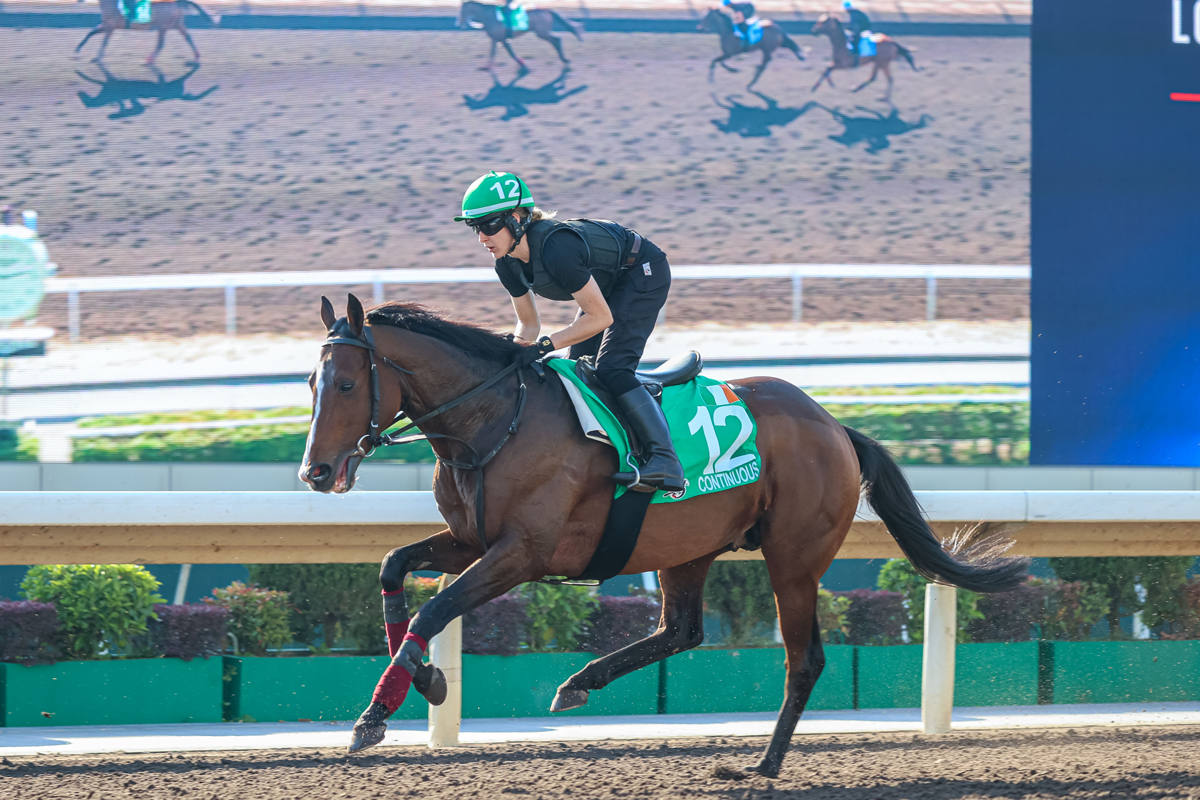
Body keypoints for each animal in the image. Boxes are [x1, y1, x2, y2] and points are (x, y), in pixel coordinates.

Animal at [76, 0, 218, 65]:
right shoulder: (107, 25)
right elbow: (91, 32)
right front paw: (78, 50)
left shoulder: (109, 26)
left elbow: (103, 41)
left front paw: (98, 56)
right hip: (177, 24)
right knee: (188, 36)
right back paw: (197, 56)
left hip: (163, 26)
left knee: (161, 43)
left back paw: (149, 59)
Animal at [300, 293, 1022, 777]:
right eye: (309, 381)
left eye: (346, 383)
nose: (317, 471)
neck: (492, 420)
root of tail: (835, 426)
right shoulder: (472, 541)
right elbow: (395, 568)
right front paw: (426, 679)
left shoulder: (522, 553)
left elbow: (436, 607)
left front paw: (375, 715)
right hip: (688, 547)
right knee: (683, 629)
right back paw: (580, 681)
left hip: (793, 558)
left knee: (804, 659)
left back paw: (763, 767)